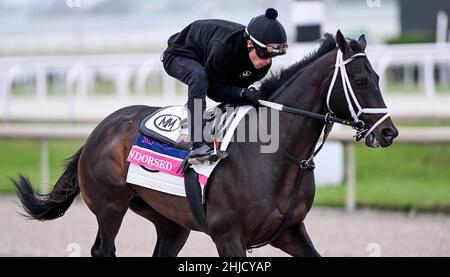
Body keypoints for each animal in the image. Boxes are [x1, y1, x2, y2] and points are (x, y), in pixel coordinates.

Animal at [14, 29, 398, 254]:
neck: (276, 156)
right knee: (102, 248)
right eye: (360, 81)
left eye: (379, 77)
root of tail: (100, 129)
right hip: (110, 207)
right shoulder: (229, 237)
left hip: (169, 223)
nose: (388, 133)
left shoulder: (289, 231)